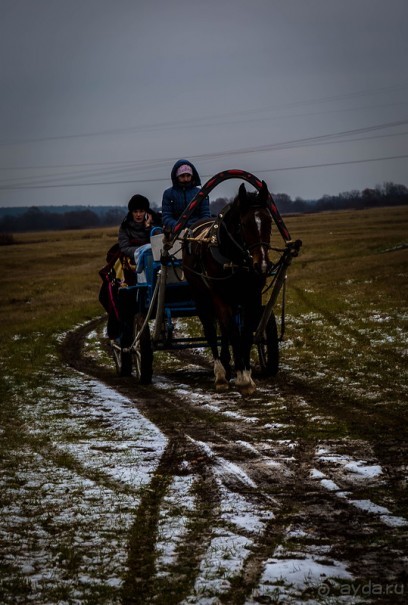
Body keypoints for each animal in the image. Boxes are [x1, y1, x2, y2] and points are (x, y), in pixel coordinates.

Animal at [182, 182, 272, 394]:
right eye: (245, 224)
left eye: (269, 222)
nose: (263, 265)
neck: (236, 259)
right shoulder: (219, 297)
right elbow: (233, 332)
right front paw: (242, 378)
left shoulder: (251, 298)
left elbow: (245, 333)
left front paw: (245, 374)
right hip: (201, 297)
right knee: (211, 330)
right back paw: (220, 373)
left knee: (223, 329)